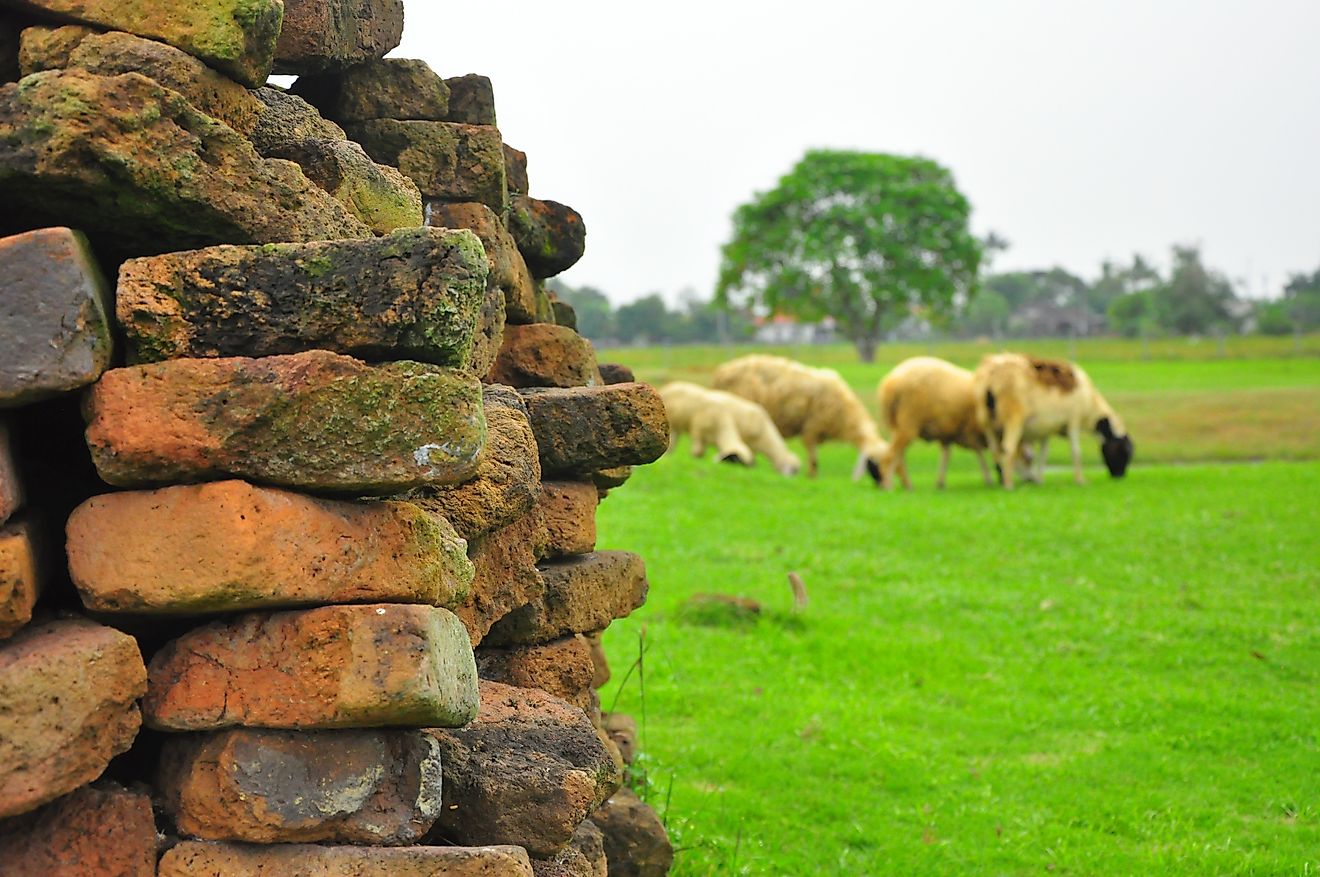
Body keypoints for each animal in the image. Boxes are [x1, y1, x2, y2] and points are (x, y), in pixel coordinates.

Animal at [712, 353, 887, 483]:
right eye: (875, 464)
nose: (881, 486)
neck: (845, 415)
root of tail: (721, 372)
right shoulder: (811, 429)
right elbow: (814, 460)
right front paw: (811, 477)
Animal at [971, 351, 1135, 488]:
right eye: (1124, 452)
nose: (1119, 476)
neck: (1090, 404)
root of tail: (991, 373)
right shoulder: (1073, 420)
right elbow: (1076, 451)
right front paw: (1080, 480)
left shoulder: (1045, 429)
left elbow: (1043, 454)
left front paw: (1039, 480)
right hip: (1013, 417)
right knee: (1008, 447)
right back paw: (1008, 484)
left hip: (986, 422)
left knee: (995, 450)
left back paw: (1001, 480)